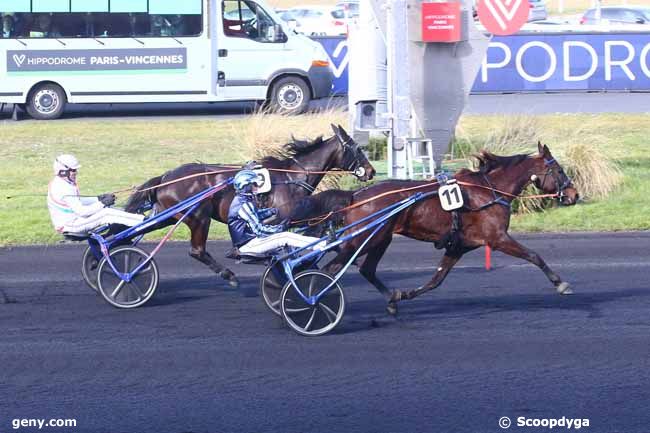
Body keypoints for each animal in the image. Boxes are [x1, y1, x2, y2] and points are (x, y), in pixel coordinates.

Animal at [124, 123, 374, 288]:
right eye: (356, 148)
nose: (371, 171)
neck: (292, 176)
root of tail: (166, 177)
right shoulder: (285, 216)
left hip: (167, 215)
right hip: (199, 216)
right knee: (197, 251)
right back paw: (229, 275)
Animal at [298, 142, 576, 314]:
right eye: (560, 170)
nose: (574, 194)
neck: (489, 190)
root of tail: (356, 195)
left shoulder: (460, 246)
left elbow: (436, 279)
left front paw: (404, 295)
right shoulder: (497, 238)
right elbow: (534, 256)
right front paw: (560, 283)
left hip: (380, 238)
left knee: (366, 270)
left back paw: (390, 300)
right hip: (363, 239)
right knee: (329, 270)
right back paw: (311, 301)